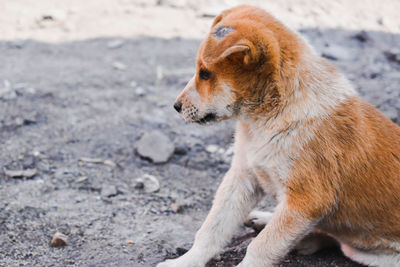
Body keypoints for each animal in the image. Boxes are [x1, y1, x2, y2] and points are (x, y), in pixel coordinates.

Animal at [158, 4, 400, 267]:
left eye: (204, 73)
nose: (176, 106)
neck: (269, 118)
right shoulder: (243, 177)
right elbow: (212, 228)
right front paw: (186, 260)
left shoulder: (305, 202)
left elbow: (262, 246)